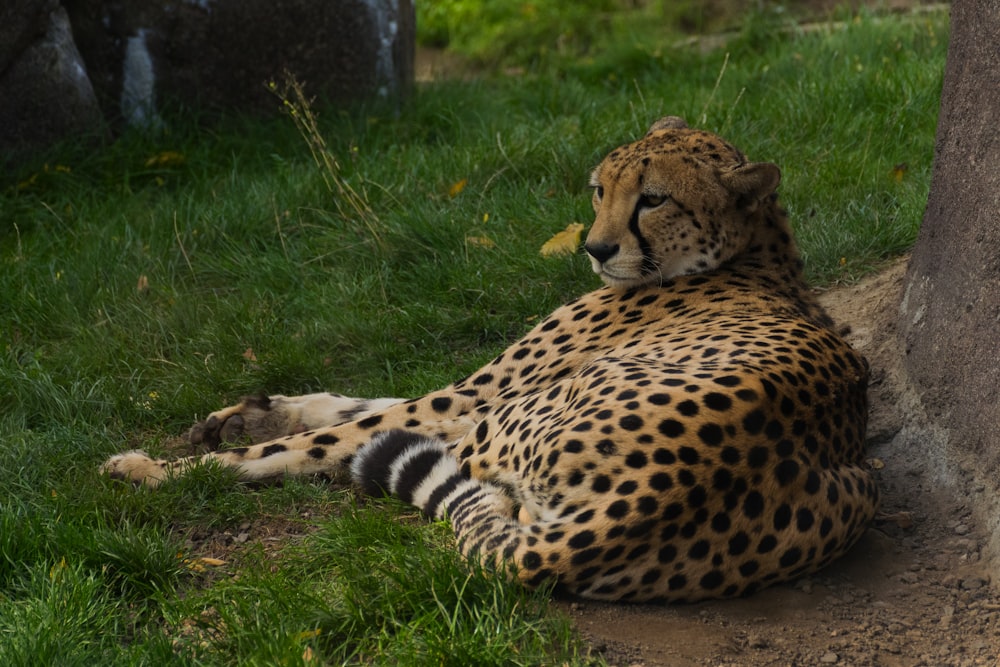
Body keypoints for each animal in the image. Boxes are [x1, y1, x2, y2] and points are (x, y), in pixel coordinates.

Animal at [105, 116, 880, 604]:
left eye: (654, 199)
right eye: (600, 188)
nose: (596, 248)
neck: (753, 252)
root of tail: (649, 500)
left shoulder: (477, 399)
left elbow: (342, 431)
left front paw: (175, 461)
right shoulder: (474, 392)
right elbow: (362, 404)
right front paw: (247, 412)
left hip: (507, 426)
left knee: (445, 485)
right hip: (860, 483)